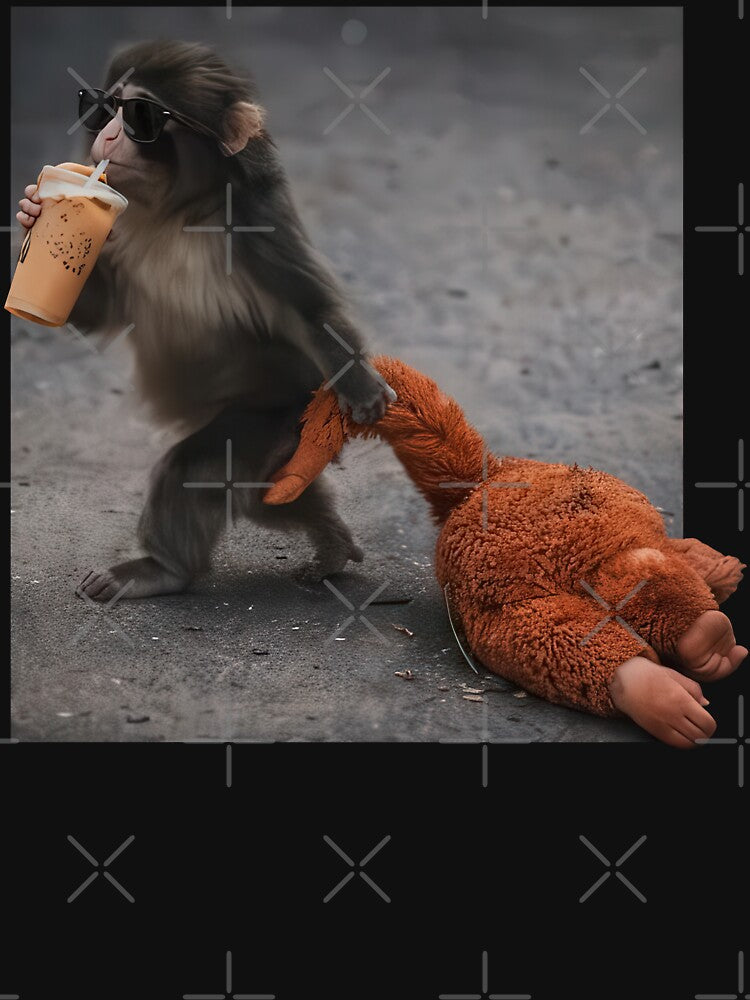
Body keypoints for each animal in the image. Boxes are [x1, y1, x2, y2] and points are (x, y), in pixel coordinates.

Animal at [17, 39, 395, 601]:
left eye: (139, 115)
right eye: (101, 107)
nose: (107, 135)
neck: (175, 213)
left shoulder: (256, 226)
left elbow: (309, 310)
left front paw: (361, 385)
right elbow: (101, 308)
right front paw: (29, 212)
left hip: (277, 413)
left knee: (197, 468)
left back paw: (161, 570)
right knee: (264, 497)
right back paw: (333, 545)